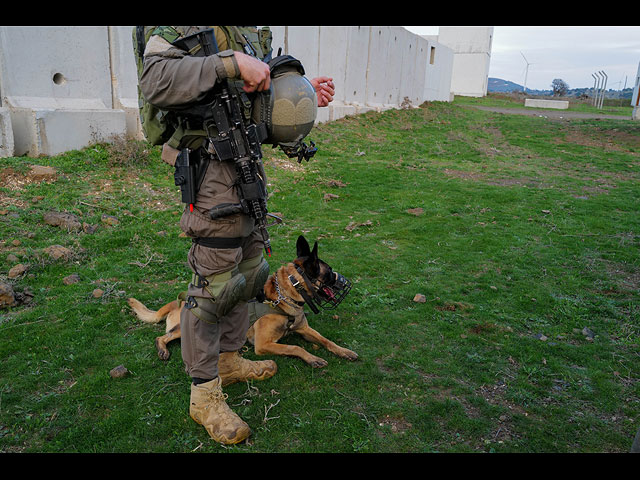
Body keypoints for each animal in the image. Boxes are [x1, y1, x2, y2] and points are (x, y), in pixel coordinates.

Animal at [127, 236, 358, 368]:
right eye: (329, 272)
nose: (346, 282)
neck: (283, 298)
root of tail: (182, 300)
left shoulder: (304, 329)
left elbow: (326, 340)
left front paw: (344, 351)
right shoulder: (264, 345)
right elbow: (295, 348)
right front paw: (312, 358)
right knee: (162, 337)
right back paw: (163, 349)